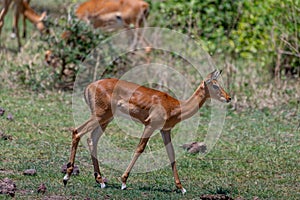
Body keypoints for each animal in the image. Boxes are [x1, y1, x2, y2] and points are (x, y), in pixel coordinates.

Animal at [63, 70, 232, 194]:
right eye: (215, 85)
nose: (229, 97)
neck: (175, 106)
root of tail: (89, 87)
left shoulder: (165, 130)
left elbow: (171, 155)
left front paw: (181, 187)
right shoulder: (150, 125)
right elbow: (140, 148)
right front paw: (124, 181)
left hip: (106, 119)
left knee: (92, 139)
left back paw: (100, 180)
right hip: (100, 115)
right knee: (77, 132)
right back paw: (66, 176)